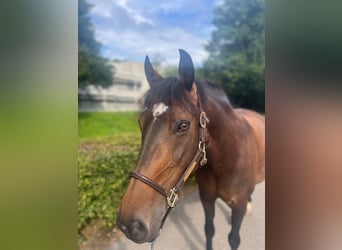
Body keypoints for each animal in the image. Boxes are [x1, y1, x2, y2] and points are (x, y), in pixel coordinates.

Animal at [117, 49, 264, 250]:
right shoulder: (207, 198)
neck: (227, 159)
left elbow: (234, 239)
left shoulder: (238, 206)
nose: (129, 223)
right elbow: (209, 230)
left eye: (184, 125)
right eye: (141, 122)